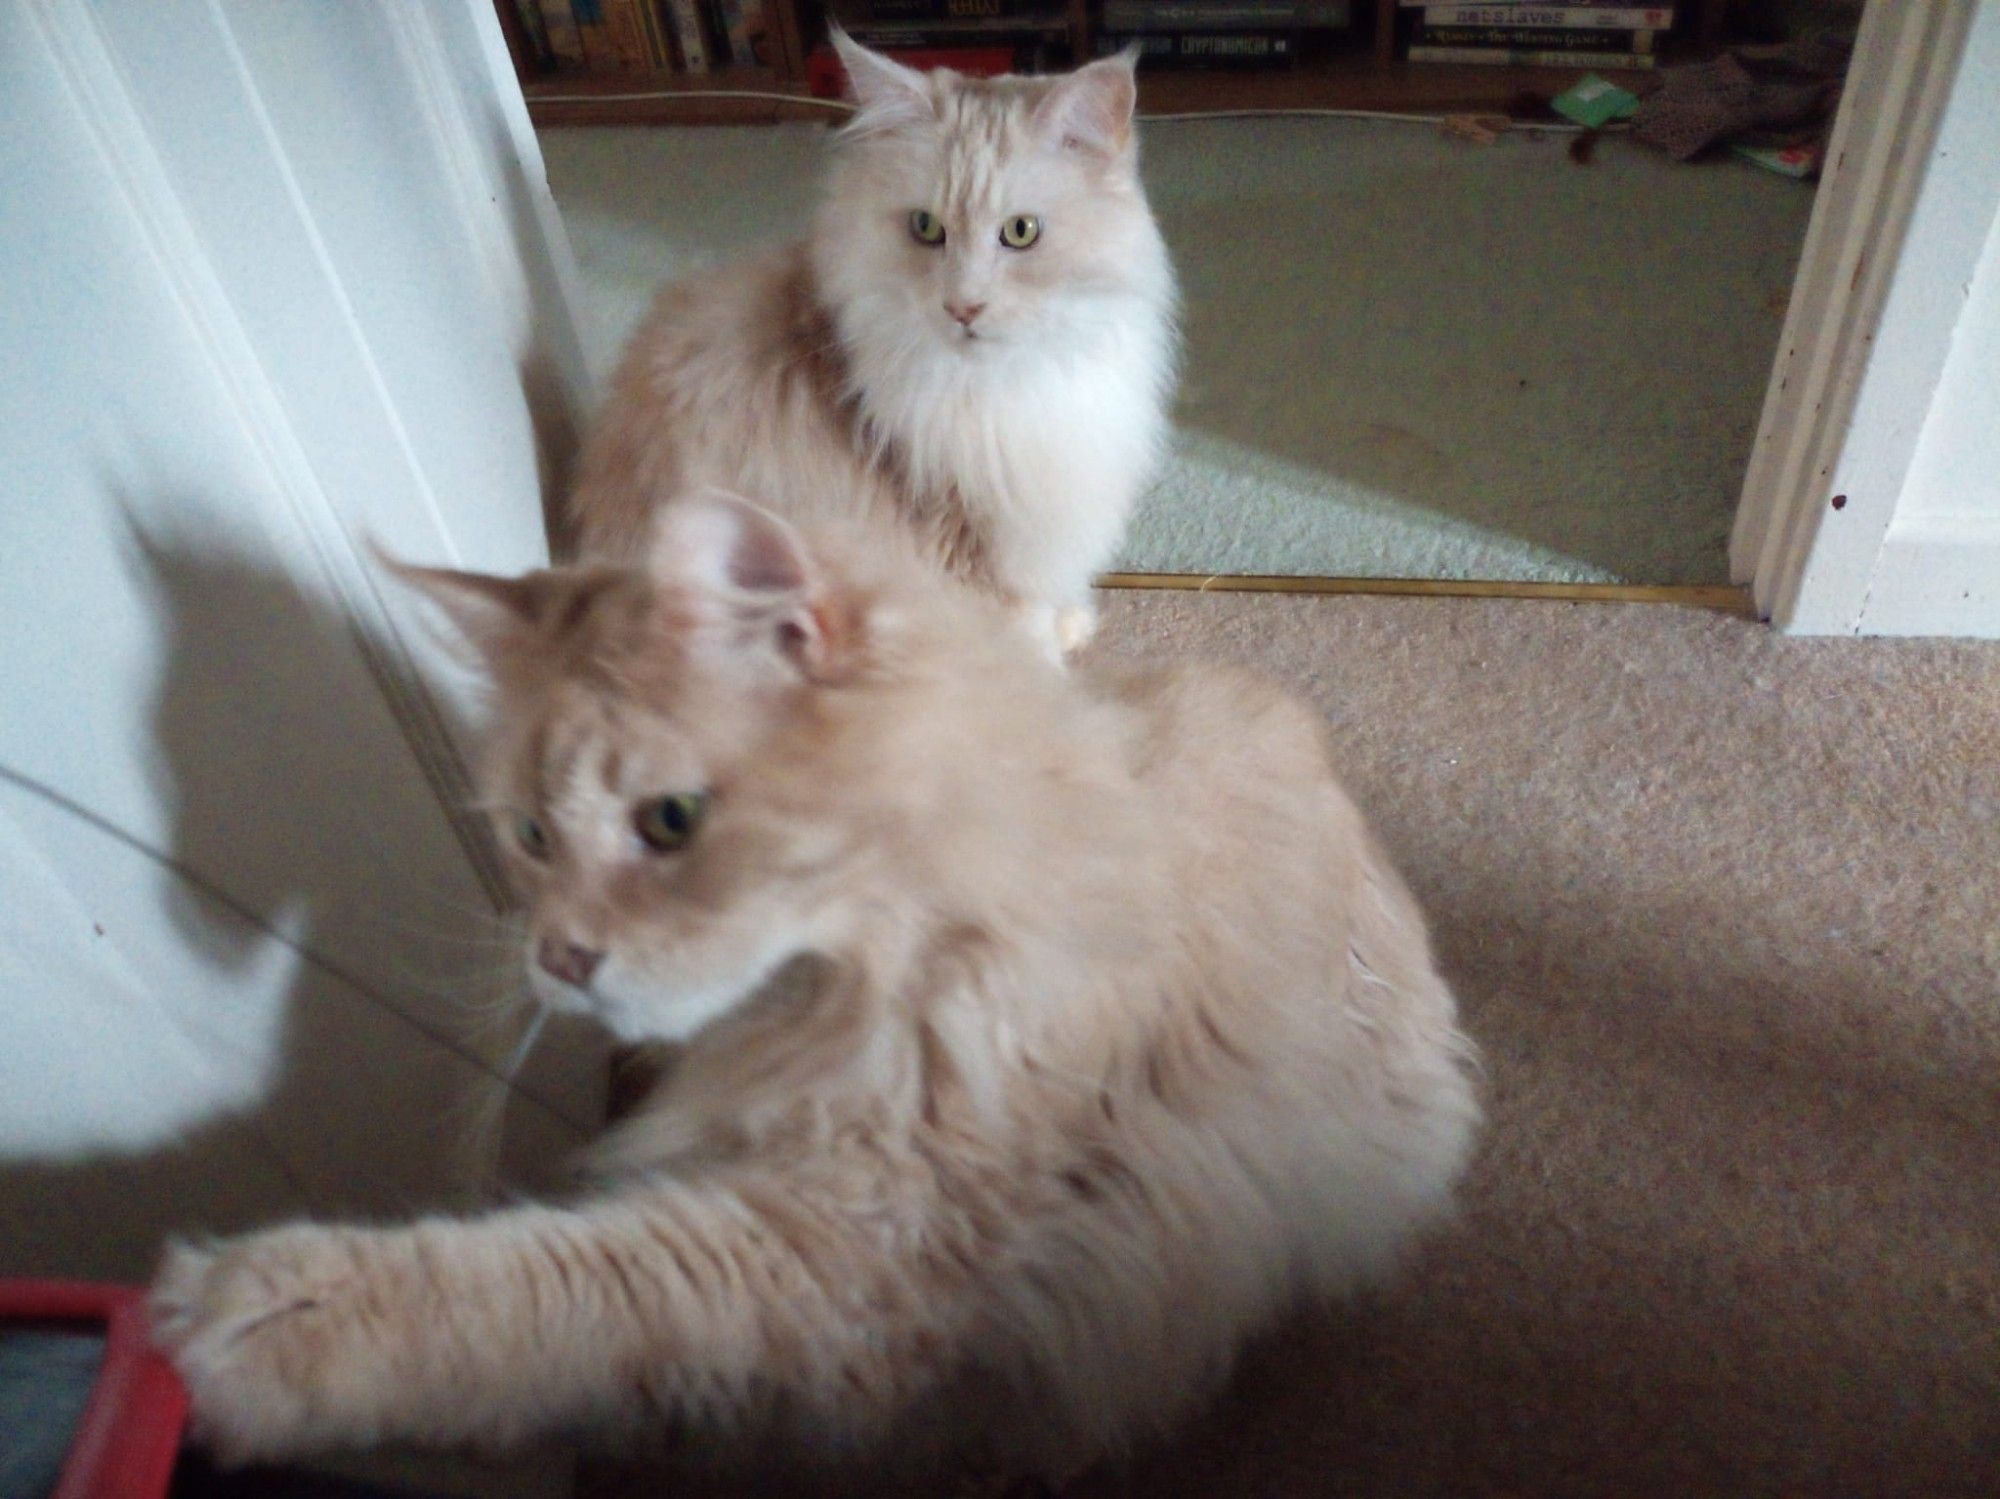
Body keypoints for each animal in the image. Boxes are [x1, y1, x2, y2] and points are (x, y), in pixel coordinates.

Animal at [152, 495, 1472, 1495]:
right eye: (529, 835)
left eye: (670, 821)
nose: (558, 958)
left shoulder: (852, 1247)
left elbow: (540, 1288)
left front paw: (265, 1316)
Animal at [564, 33, 1176, 655]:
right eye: (926, 228)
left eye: (1021, 232)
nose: (962, 308)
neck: (1005, 382)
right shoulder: (971, 547)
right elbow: (1023, 641)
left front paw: (1073, 625)